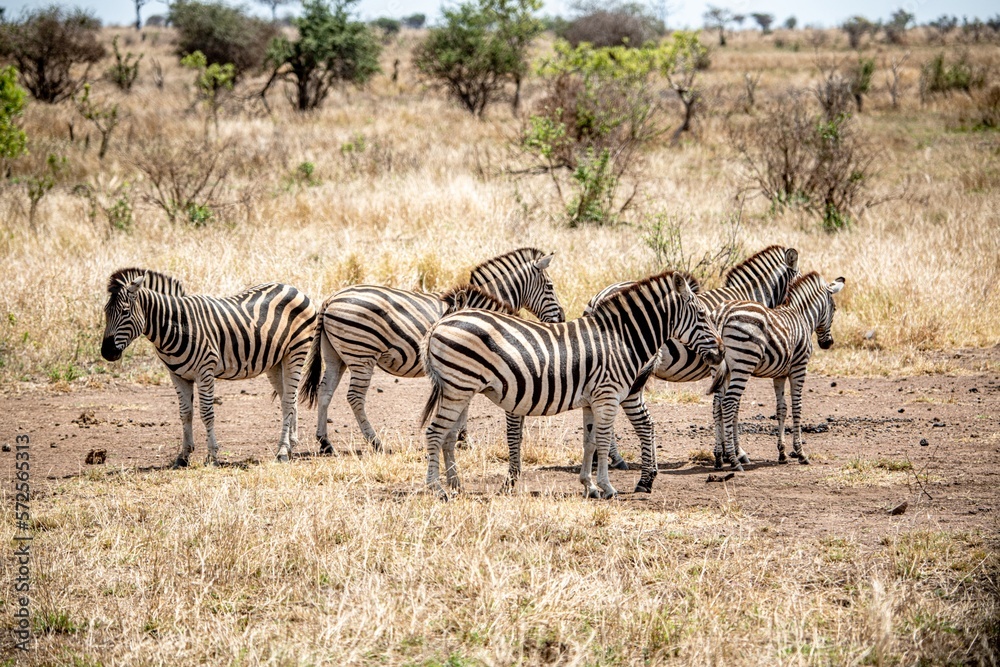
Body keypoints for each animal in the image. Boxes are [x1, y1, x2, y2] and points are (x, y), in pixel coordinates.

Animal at [100, 268, 317, 466]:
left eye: (125, 312)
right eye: (105, 312)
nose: (106, 352)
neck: (177, 325)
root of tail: (293, 288)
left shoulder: (204, 371)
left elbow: (206, 413)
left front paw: (212, 456)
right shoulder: (177, 375)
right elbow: (185, 414)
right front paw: (183, 456)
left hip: (296, 352)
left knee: (288, 401)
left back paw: (282, 451)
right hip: (275, 361)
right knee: (289, 399)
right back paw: (291, 445)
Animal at [299, 248, 565, 453]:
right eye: (550, 286)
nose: (561, 318)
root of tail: (330, 299)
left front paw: (460, 436)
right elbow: (465, 404)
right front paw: (463, 437)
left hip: (336, 355)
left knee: (325, 390)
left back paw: (325, 442)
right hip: (361, 354)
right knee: (354, 397)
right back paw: (376, 443)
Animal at [419, 270, 723, 500]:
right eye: (702, 315)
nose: (720, 353)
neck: (620, 339)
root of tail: (438, 327)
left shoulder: (591, 400)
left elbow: (589, 442)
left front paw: (589, 486)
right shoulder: (607, 396)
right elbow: (602, 441)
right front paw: (607, 487)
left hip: (458, 389)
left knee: (446, 435)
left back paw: (454, 486)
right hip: (458, 388)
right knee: (435, 433)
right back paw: (437, 489)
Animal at [583, 246, 800, 469]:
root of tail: (598, 299)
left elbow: (722, 405)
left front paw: (724, 452)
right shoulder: (737, 362)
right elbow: (732, 407)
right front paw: (737, 453)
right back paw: (616, 458)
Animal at [708, 272, 845, 470]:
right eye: (834, 309)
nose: (828, 343)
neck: (802, 316)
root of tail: (722, 314)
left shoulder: (779, 375)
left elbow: (781, 409)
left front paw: (782, 453)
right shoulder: (799, 368)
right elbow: (797, 407)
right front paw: (800, 453)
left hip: (718, 367)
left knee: (717, 404)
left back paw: (719, 457)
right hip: (743, 365)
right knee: (728, 403)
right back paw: (734, 460)